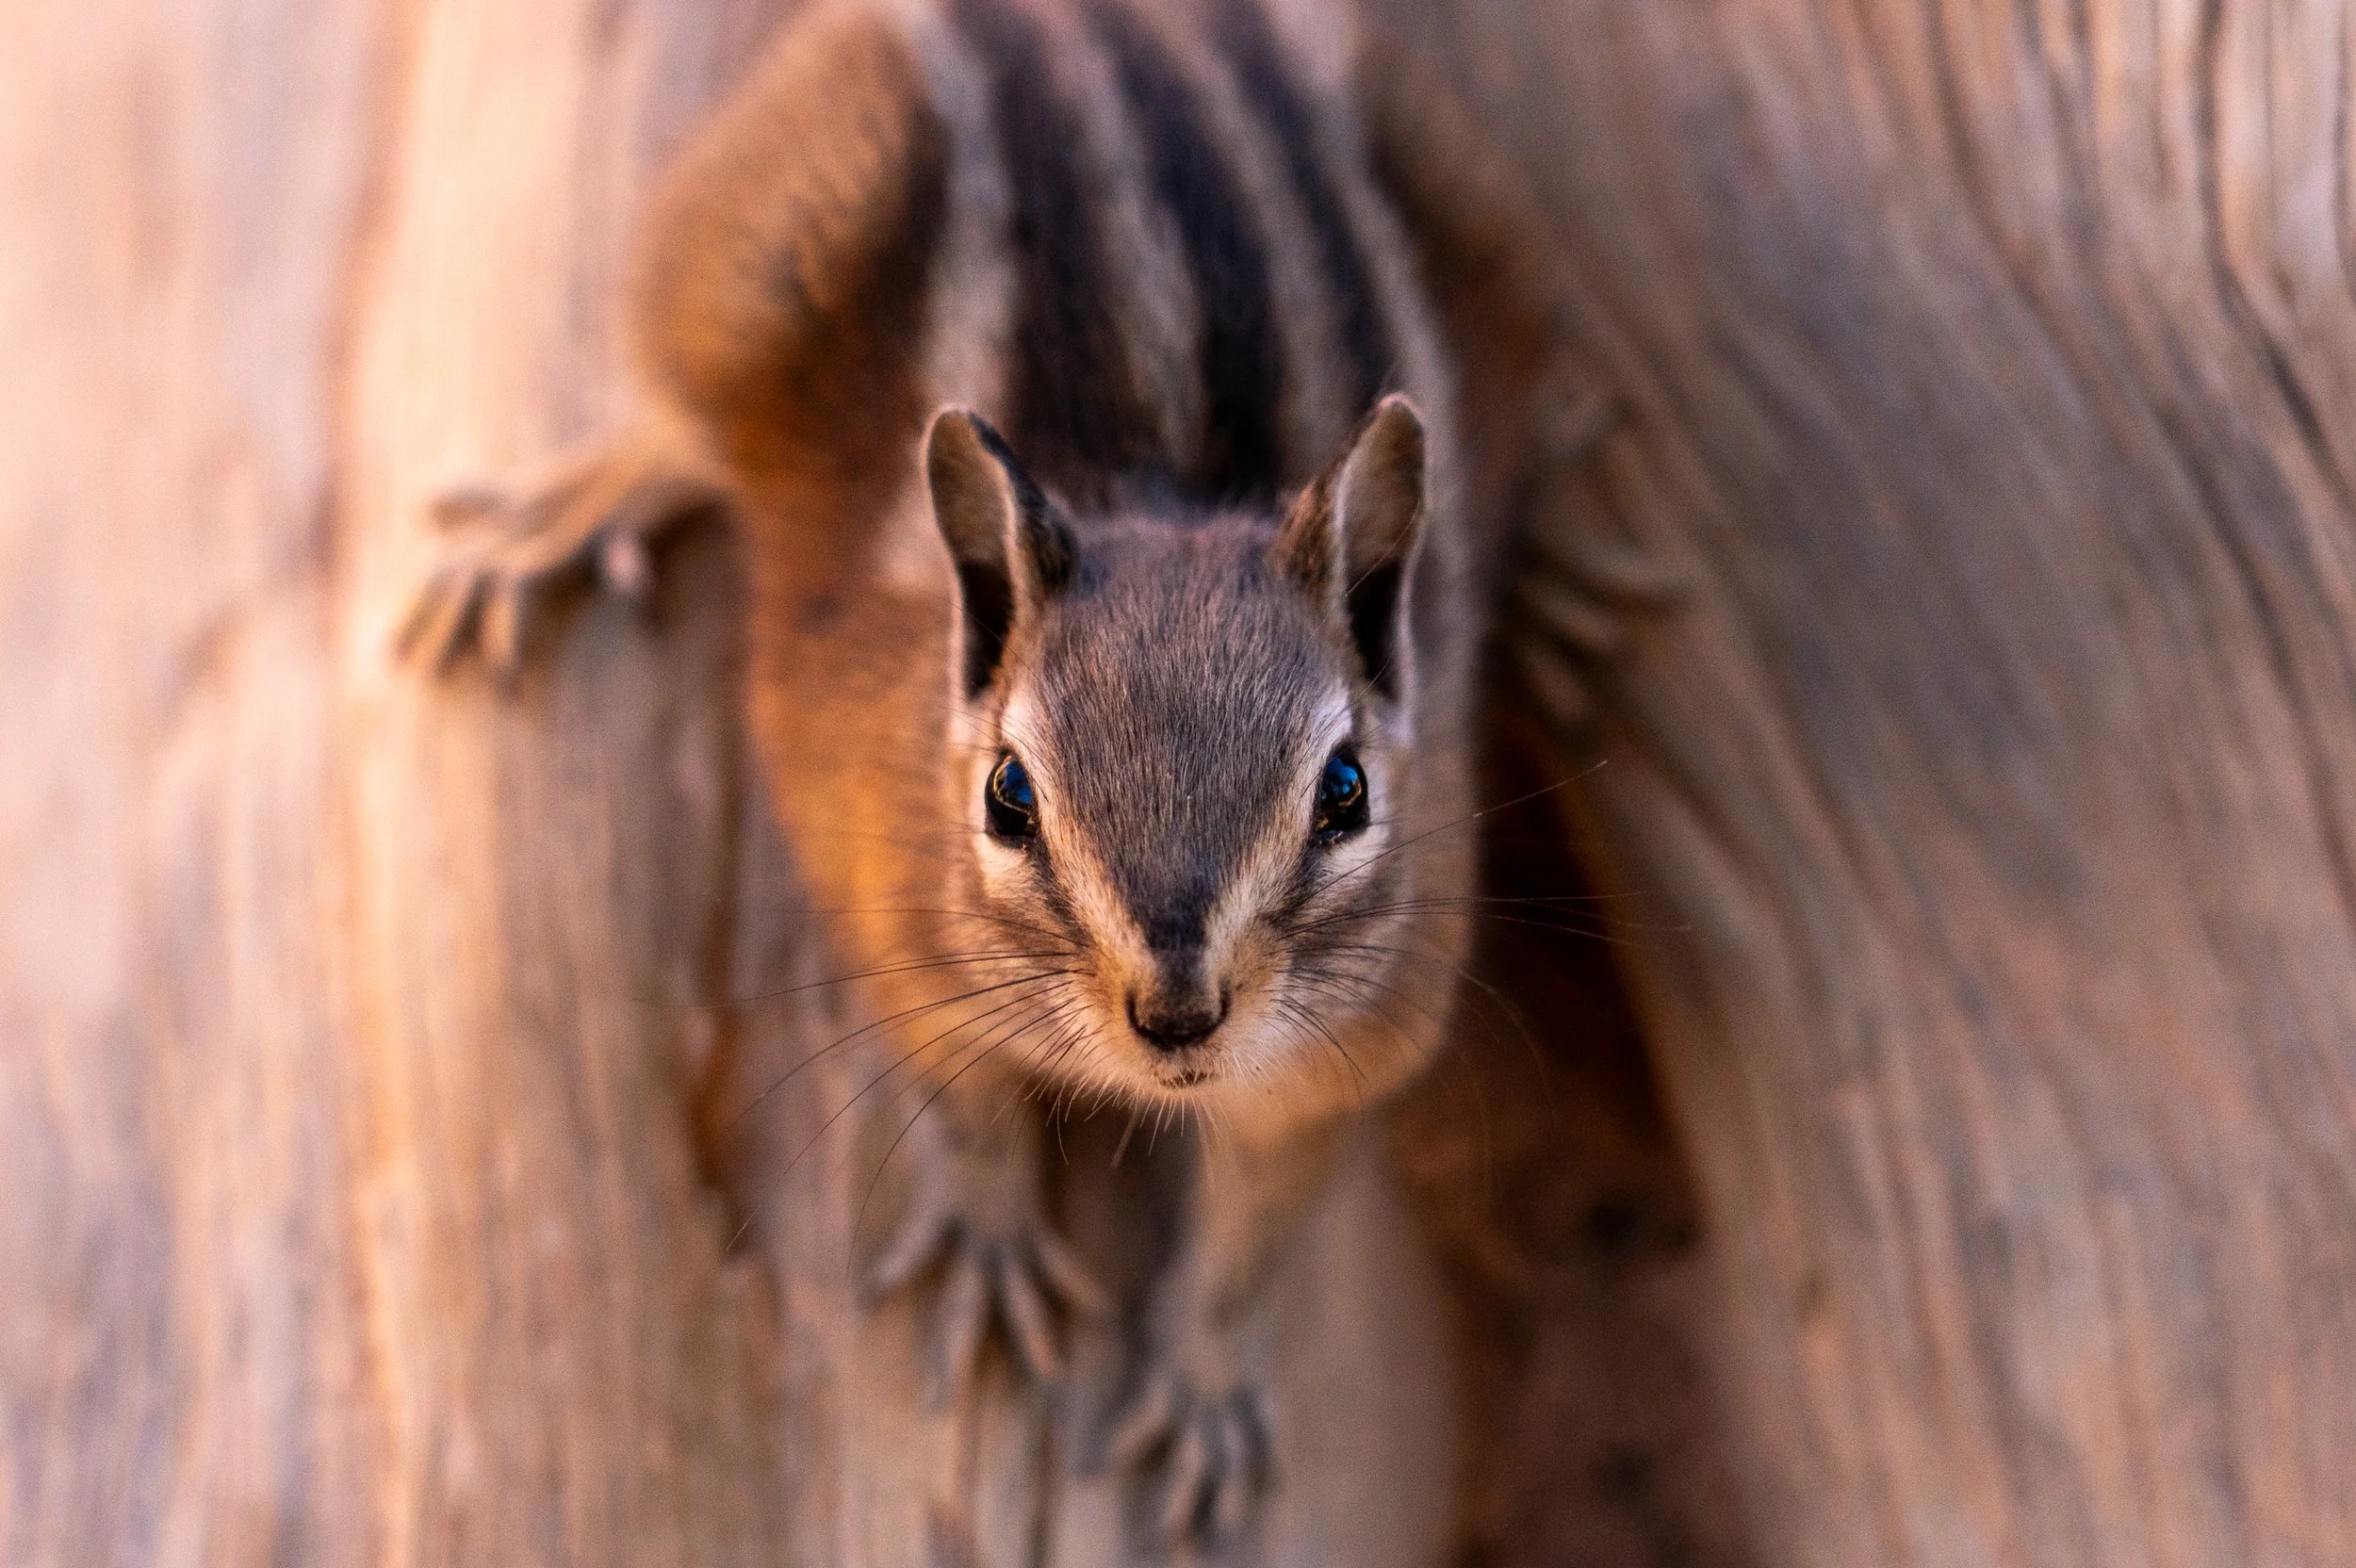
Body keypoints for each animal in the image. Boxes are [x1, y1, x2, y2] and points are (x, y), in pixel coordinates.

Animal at [404, 0, 1571, 1549]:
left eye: (1346, 793)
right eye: (1009, 797)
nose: (1176, 1013)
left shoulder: (1363, 1034)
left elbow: (1264, 1223)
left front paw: (1205, 1382)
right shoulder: (895, 925)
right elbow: (957, 1094)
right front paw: (991, 1245)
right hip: (755, 244)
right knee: (680, 407)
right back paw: (560, 512)